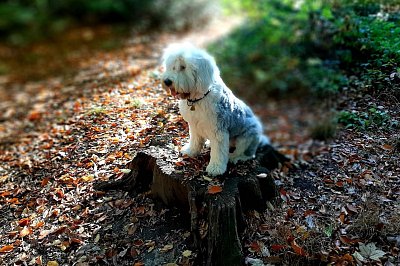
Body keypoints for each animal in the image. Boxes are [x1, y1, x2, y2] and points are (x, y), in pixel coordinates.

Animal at [160, 43, 268, 177]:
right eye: (172, 66)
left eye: (183, 67)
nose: (167, 81)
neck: (198, 99)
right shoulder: (194, 125)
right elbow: (195, 140)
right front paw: (190, 151)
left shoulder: (218, 131)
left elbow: (219, 152)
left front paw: (215, 168)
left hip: (247, 137)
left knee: (247, 154)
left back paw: (234, 157)